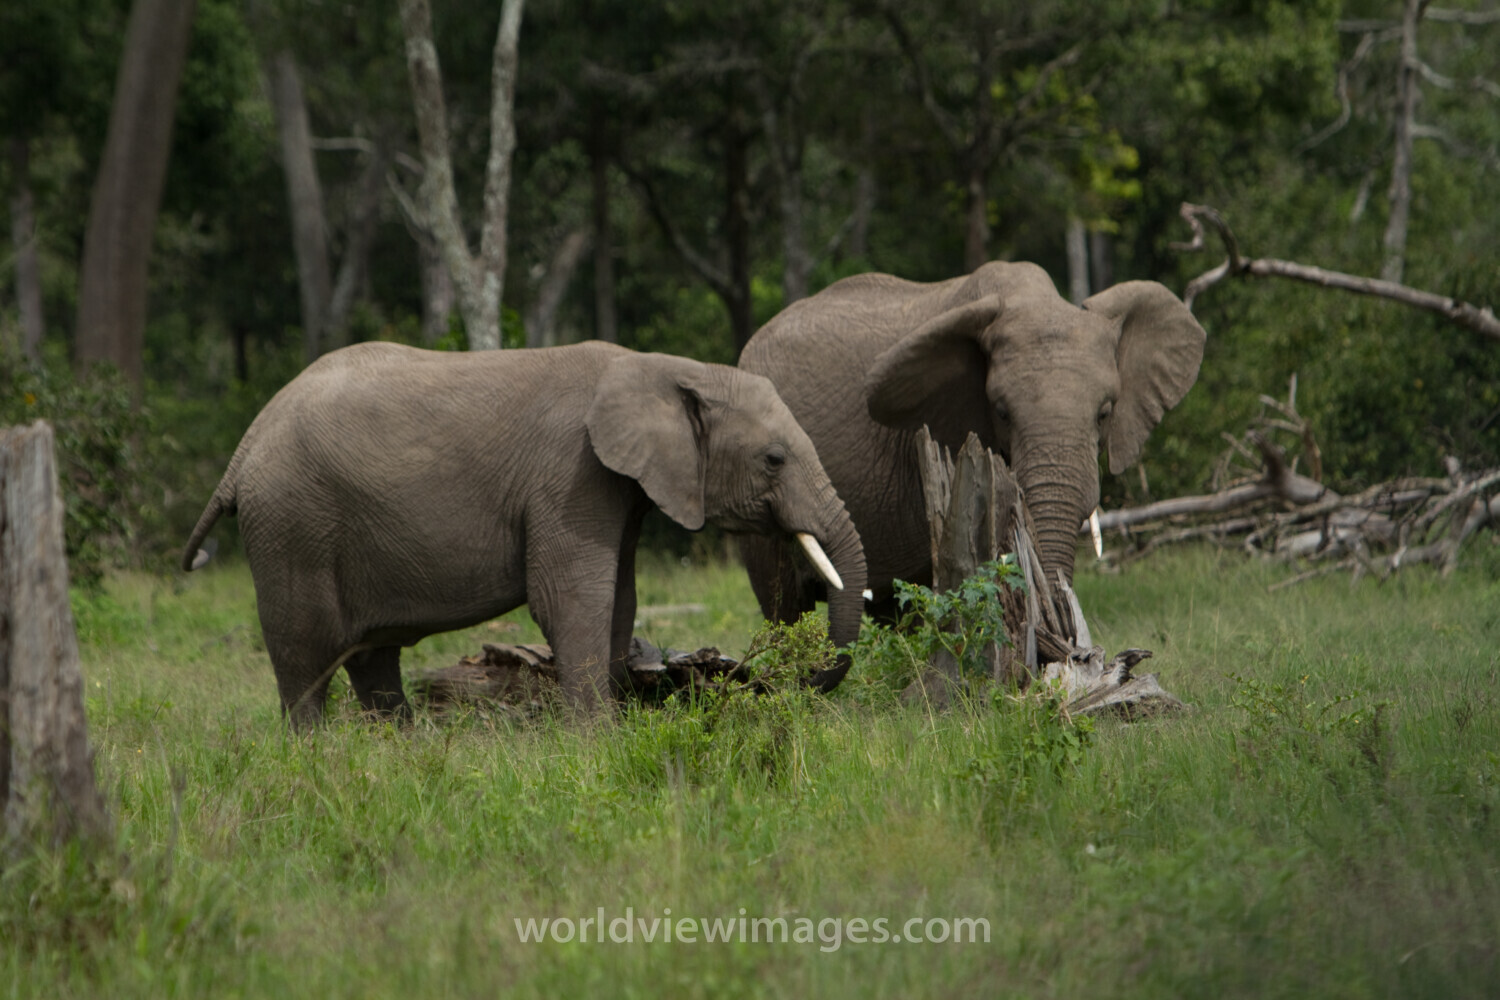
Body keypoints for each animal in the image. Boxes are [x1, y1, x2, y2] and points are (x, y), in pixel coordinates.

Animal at [181, 340, 867, 727]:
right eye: (774, 459)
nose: (790, 682)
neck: (666, 368)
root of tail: (244, 448)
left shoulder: (615, 487)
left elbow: (619, 599)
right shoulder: (570, 474)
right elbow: (570, 598)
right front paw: (597, 742)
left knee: (374, 659)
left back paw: (398, 749)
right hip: (293, 525)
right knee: (306, 658)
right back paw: (318, 757)